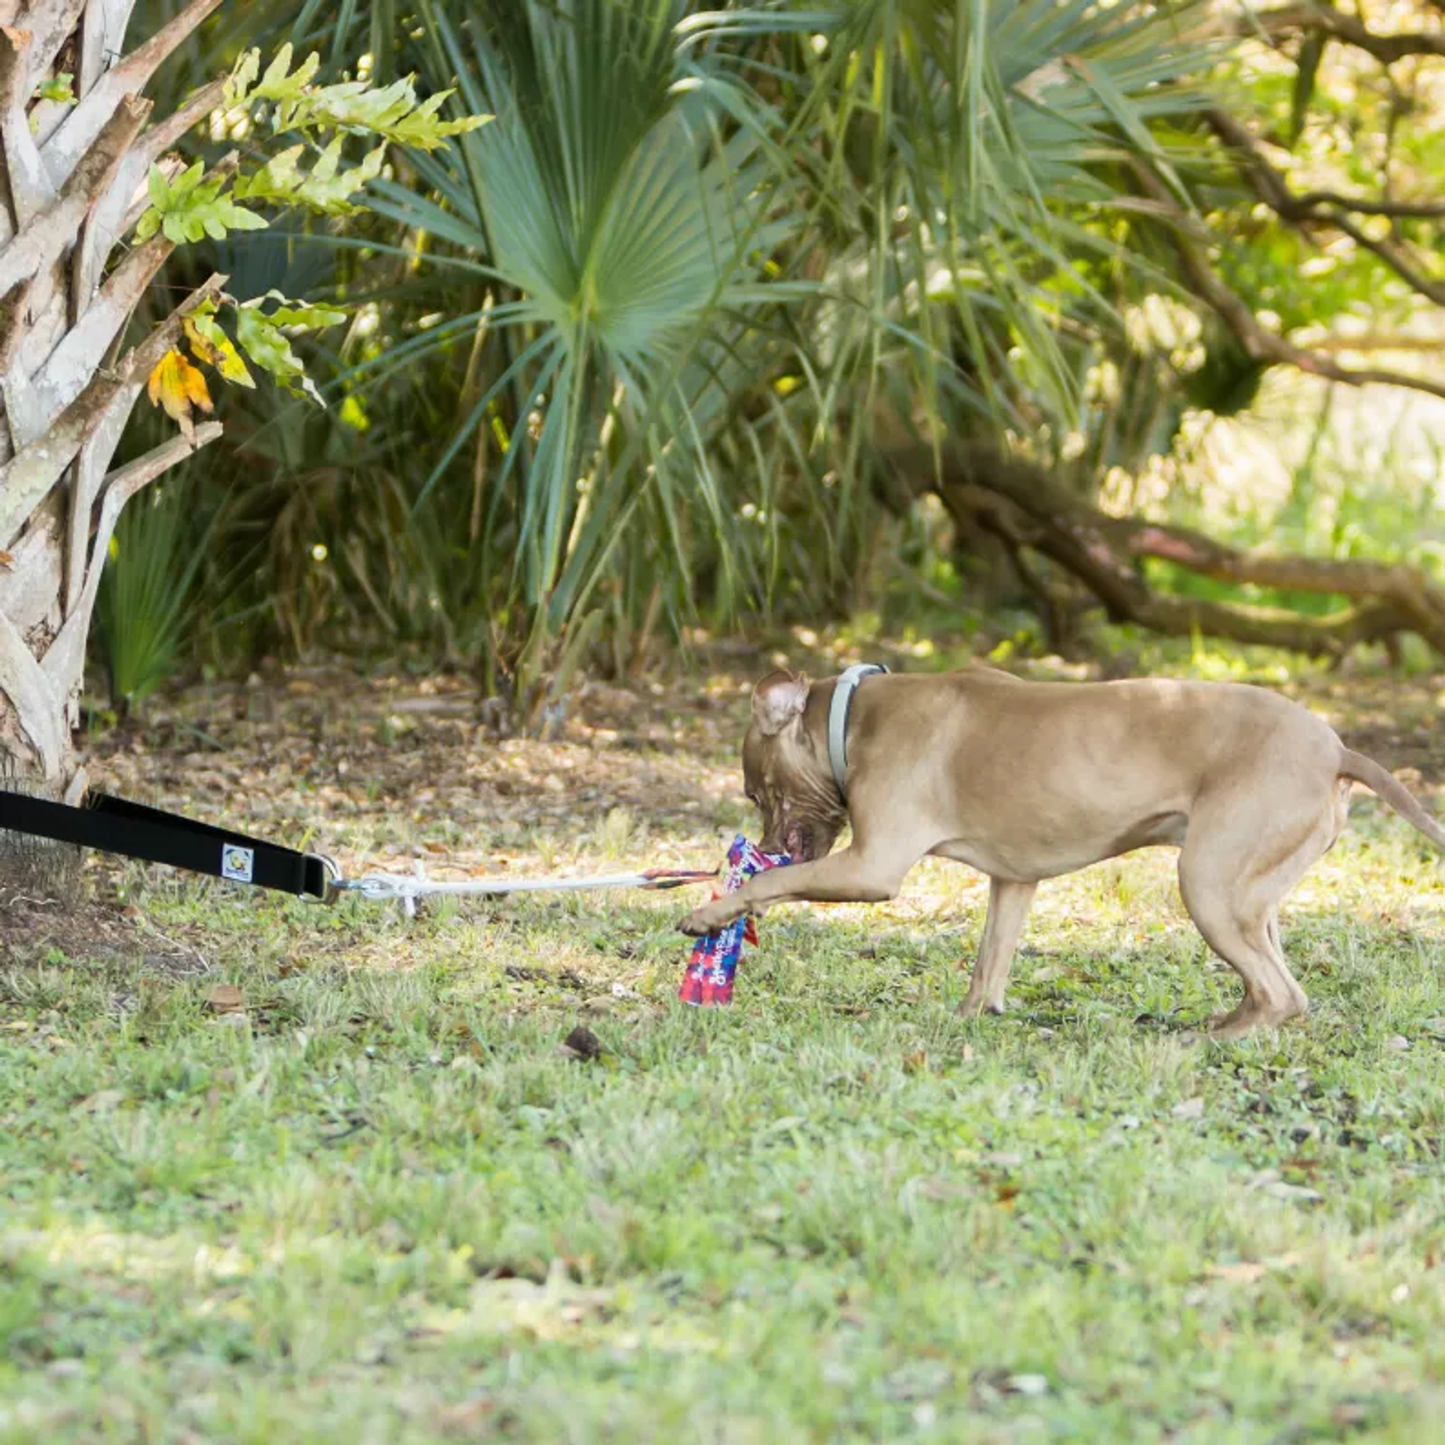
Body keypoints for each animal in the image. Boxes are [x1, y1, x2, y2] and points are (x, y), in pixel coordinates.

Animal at [679, 667, 1445, 1040]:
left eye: (756, 790)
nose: (762, 847)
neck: (850, 716)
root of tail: (1336, 748)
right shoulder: (1013, 880)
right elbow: (989, 962)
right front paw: (969, 1019)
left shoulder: (871, 866)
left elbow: (779, 885)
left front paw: (713, 909)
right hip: (1247, 892)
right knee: (1274, 983)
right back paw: (1224, 1023)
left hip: (1205, 882)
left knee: (1283, 994)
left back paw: (1204, 1041)